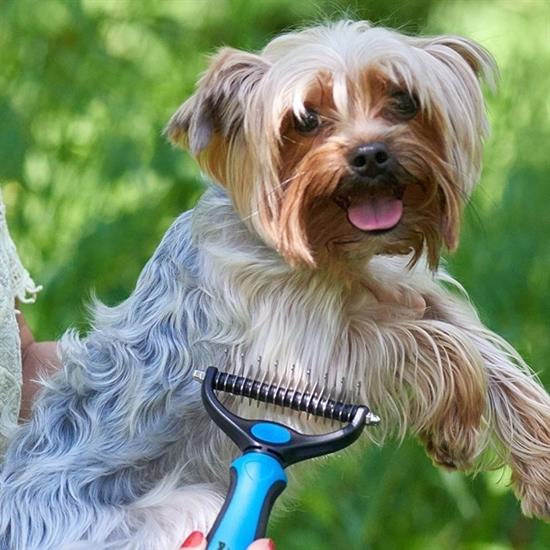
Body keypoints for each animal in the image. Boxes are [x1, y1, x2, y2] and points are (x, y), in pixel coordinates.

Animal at [0, 19, 548, 548]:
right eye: (304, 120)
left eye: (404, 100)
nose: (371, 154)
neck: (338, 255)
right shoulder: (304, 361)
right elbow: (439, 342)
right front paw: (459, 425)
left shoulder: (409, 290)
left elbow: (482, 346)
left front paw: (536, 459)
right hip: (176, 509)